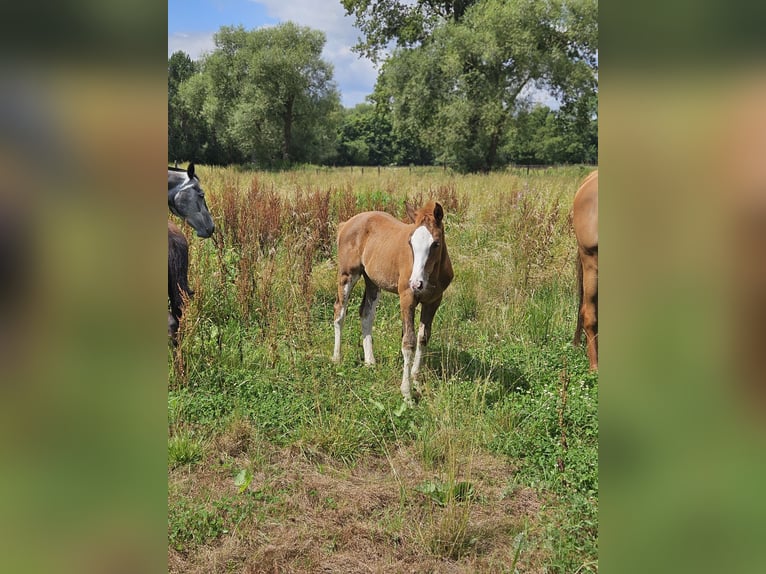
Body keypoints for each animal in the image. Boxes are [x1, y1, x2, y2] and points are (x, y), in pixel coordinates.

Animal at [332, 202, 452, 404]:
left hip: (372, 281)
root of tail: (346, 223)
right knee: (340, 312)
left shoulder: (434, 301)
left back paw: (370, 362)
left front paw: (416, 381)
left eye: (436, 243)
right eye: (410, 243)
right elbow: (408, 342)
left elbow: (423, 338)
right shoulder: (407, 298)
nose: (416, 284)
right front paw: (407, 394)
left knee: (366, 314)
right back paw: (336, 358)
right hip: (347, 274)